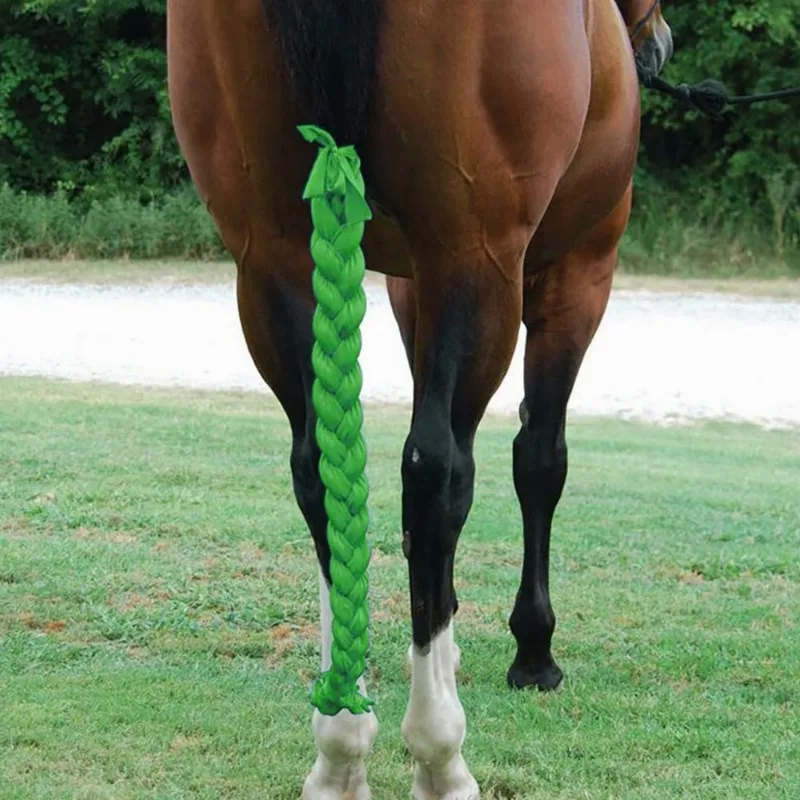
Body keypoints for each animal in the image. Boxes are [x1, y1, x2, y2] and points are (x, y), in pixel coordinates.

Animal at [167, 0, 673, 796]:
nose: (657, 45)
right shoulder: (579, 270)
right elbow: (539, 459)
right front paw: (533, 649)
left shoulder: (404, 284)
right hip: (476, 254)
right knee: (438, 473)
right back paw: (439, 751)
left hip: (271, 258)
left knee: (322, 473)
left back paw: (341, 745)